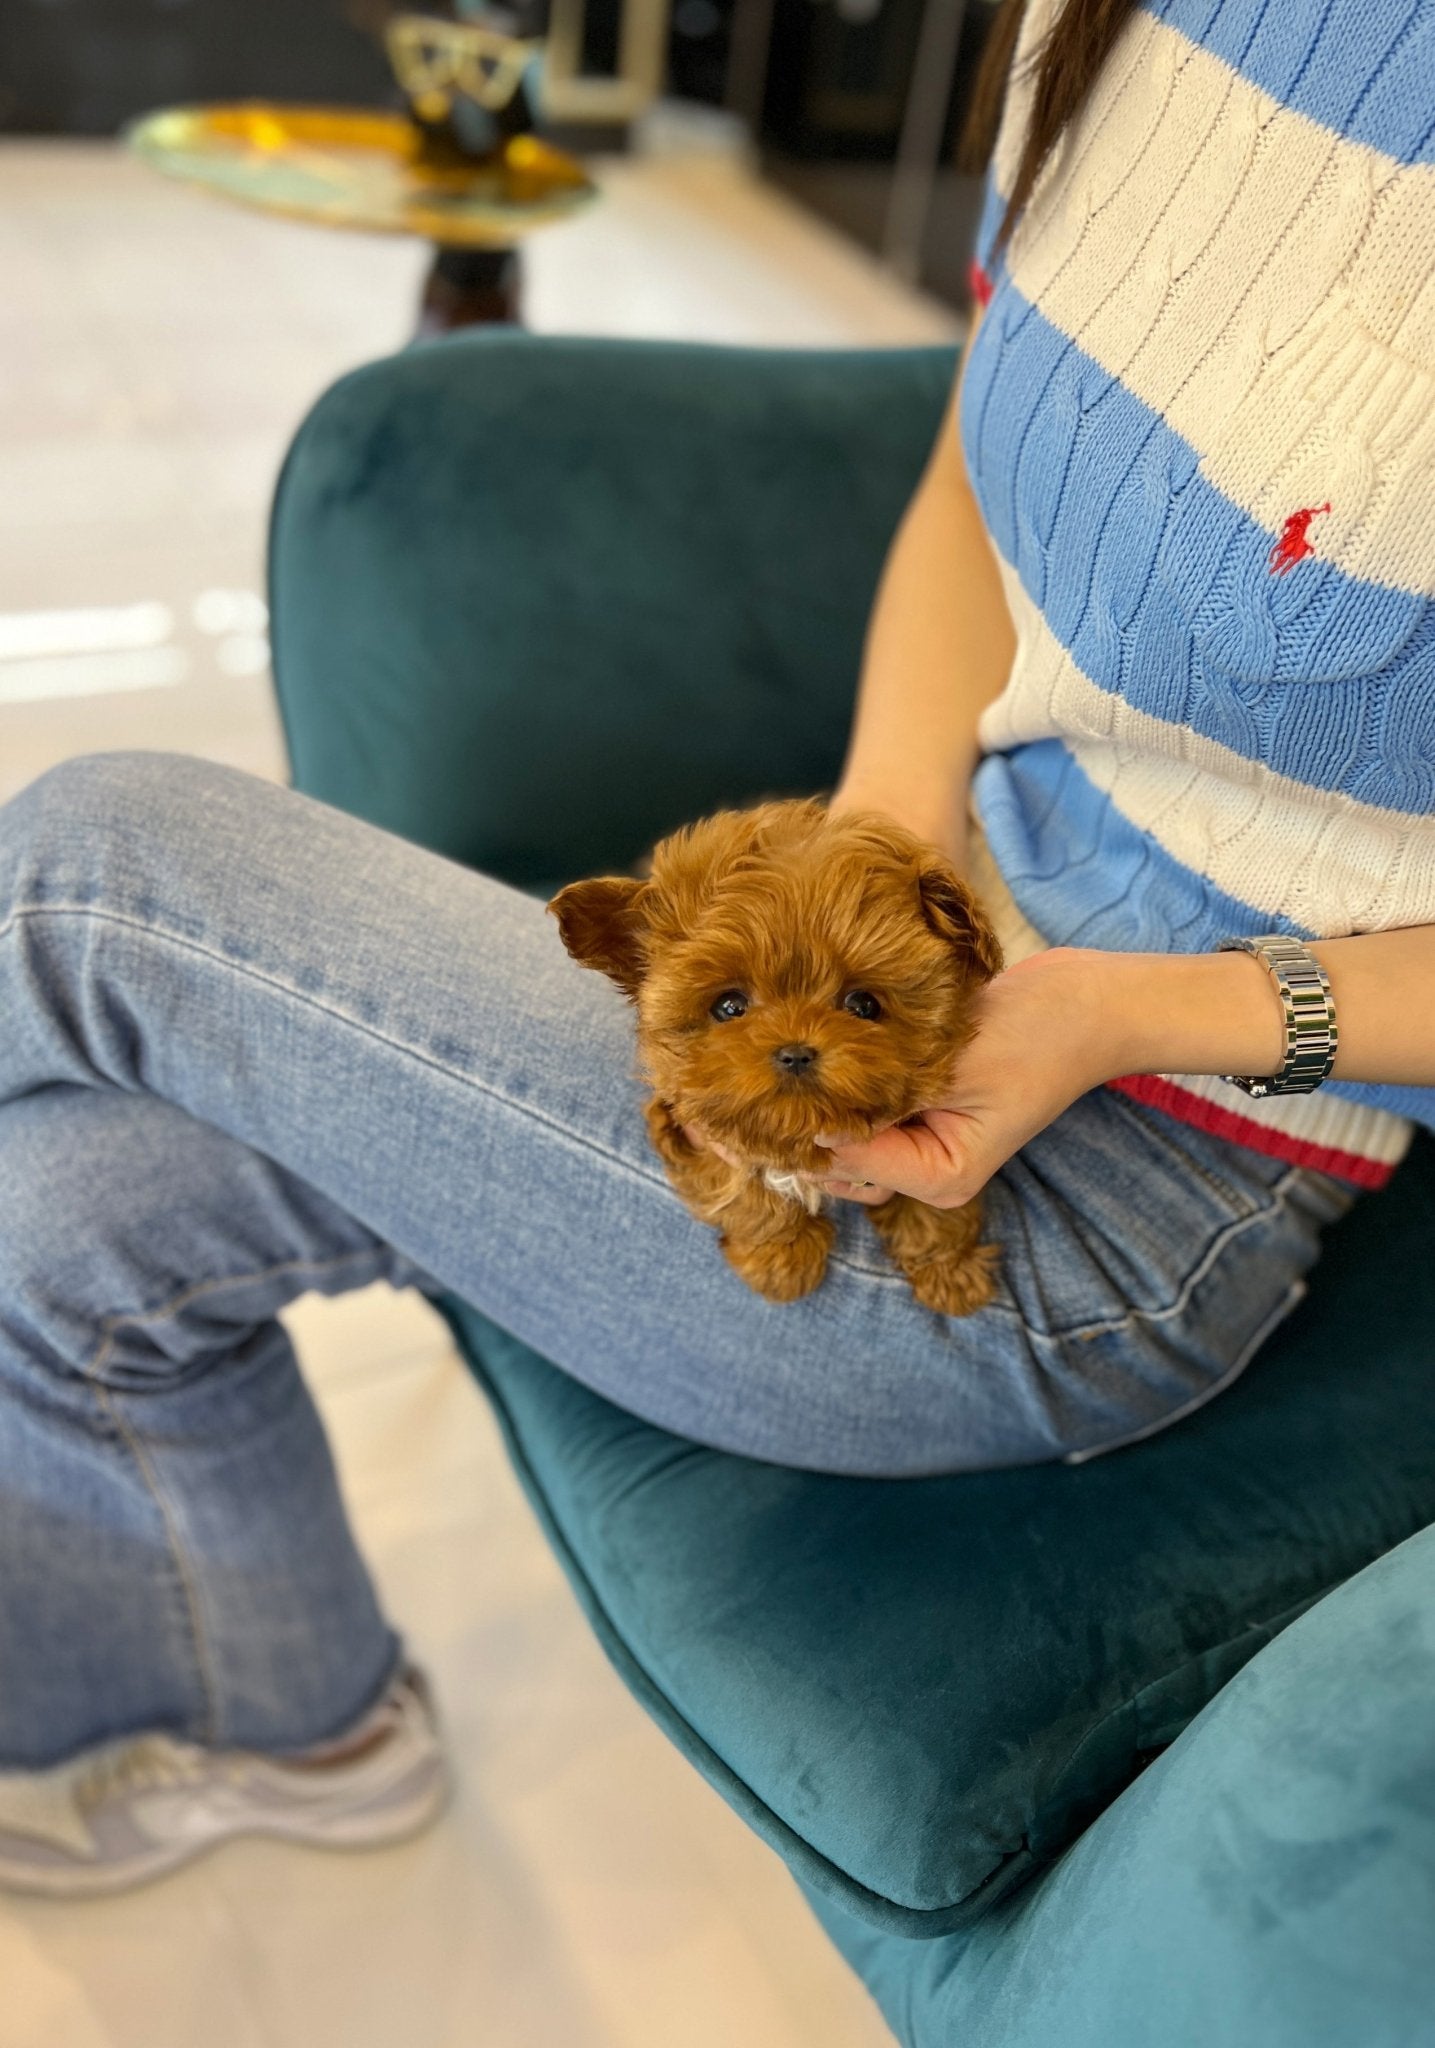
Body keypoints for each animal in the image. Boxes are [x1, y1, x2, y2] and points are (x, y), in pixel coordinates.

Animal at [544, 798, 1003, 1310]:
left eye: (864, 1005)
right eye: (729, 1007)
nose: (795, 1053)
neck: (797, 1137)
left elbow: (934, 1206)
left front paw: (951, 1270)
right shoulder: (689, 1124)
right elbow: (747, 1189)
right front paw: (781, 1262)